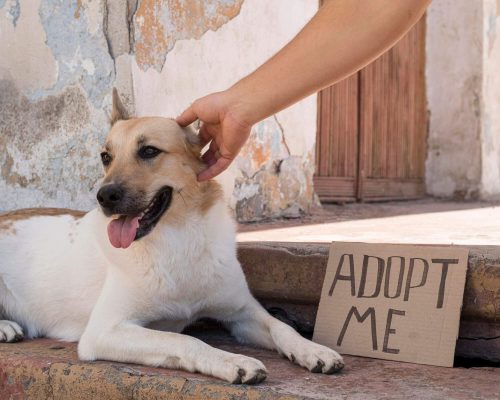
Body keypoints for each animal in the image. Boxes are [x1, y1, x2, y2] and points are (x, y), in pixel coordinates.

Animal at [0, 90, 344, 384]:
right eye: (105, 157)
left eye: (149, 151)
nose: (104, 196)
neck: (178, 240)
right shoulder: (104, 331)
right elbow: (184, 339)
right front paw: (232, 361)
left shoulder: (242, 312)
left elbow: (281, 326)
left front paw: (313, 349)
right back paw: (6, 326)